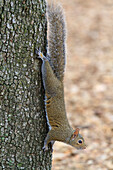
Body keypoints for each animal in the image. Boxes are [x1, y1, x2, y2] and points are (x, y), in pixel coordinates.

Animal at [37, 1, 86, 150]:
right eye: (80, 141)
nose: (85, 147)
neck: (68, 135)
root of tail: (59, 82)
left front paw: (50, 145)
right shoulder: (56, 132)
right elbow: (48, 136)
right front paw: (45, 145)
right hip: (49, 81)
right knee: (46, 67)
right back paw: (43, 57)